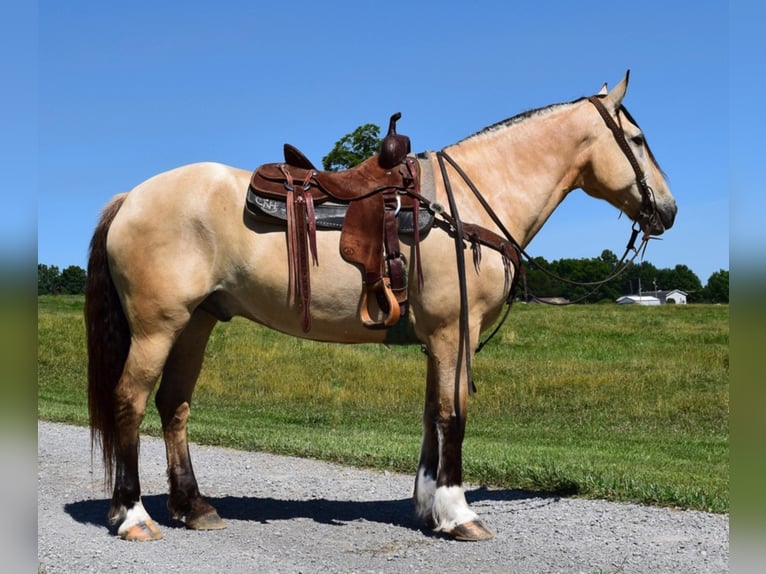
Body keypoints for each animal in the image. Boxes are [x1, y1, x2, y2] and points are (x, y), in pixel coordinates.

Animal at [85, 73, 680, 544]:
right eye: (637, 138)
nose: (669, 210)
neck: (469, 204)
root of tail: (130, 197)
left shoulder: (438, 338)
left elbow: (431, 415)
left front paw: (428, 506)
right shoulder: (455, 332)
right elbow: (453, 415)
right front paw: (459, 513)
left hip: (196, 323)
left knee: (174, 406)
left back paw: (193, 507)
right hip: (158, 327)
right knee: (130, 401)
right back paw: (133, 515)